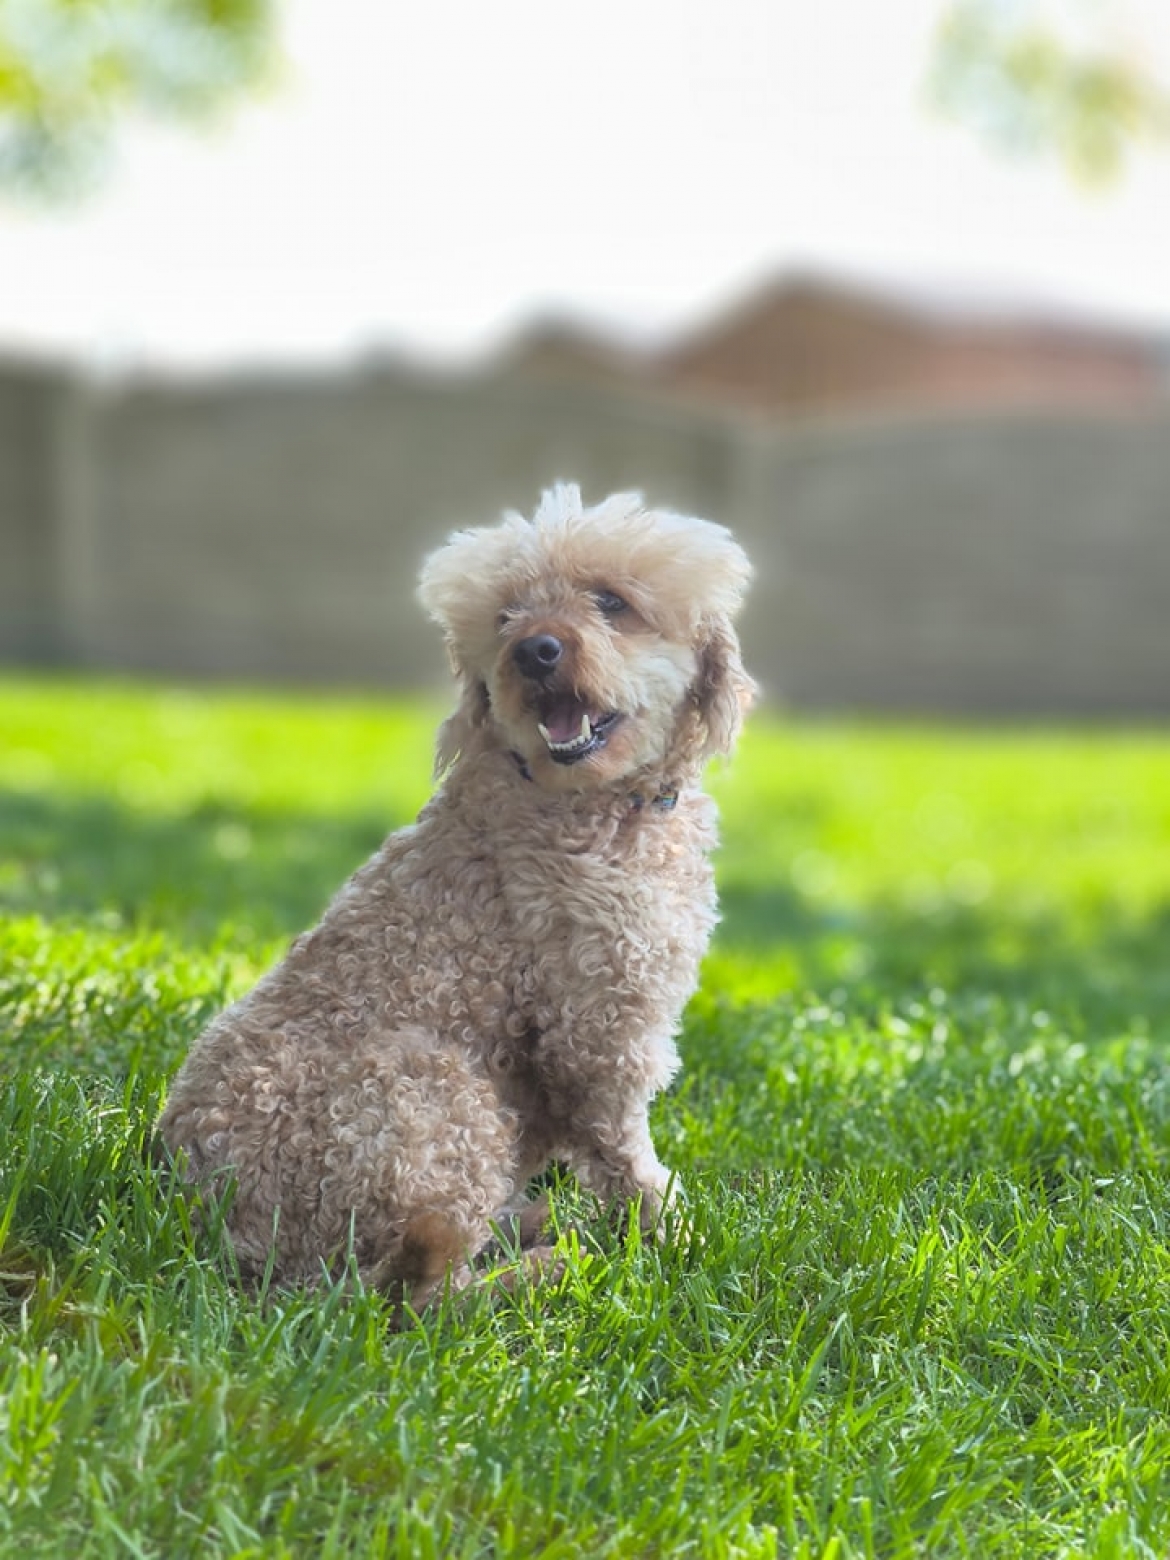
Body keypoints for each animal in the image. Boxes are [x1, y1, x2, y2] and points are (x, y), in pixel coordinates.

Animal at [158, 486, 751, 1304]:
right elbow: (626, 1153)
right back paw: (548, 1263)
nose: (534, 649)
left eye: (611, 602)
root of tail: (219, 1219)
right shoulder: (598, 1030)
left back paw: (530, 1224)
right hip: (435, 1090)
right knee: (430, 1296)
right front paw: (673, 1232)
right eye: (507, 616)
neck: (593, 803)